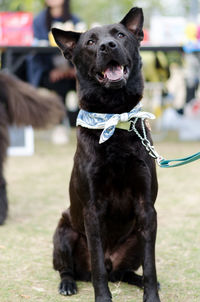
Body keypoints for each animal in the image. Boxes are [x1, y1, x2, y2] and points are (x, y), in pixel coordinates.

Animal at [52, 7, 161, 302]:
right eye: (90, 42)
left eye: (120, 35)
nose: (107, 46)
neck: (115, 116)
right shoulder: (92, 210)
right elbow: (98, 266)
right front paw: (102, 297)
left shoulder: (147, 209)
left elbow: (151, 264)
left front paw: (151, 294)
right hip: (63, 232)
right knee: (73, 269)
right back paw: (68, 284)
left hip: (135, 237)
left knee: (125, 271)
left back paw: (137, 279)